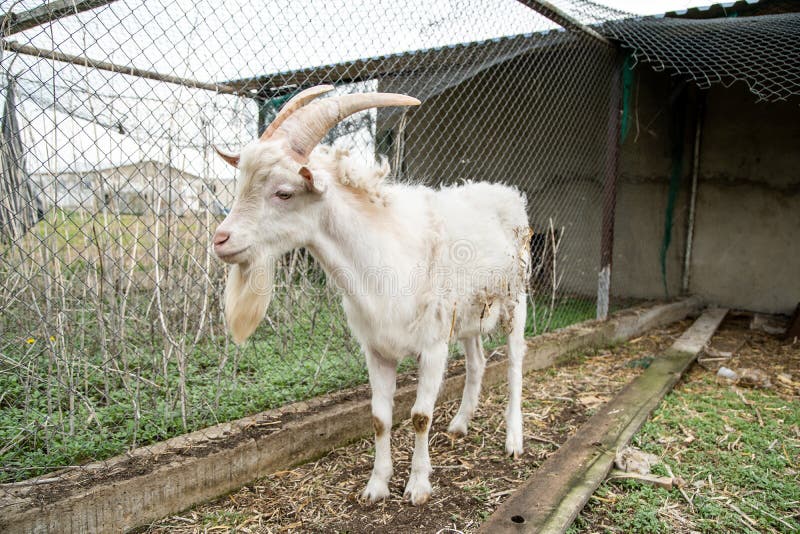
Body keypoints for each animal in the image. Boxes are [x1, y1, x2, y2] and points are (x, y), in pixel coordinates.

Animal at [212, 86, 532, 508]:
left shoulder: (432, 346)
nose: (220, 240)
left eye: (283, 192)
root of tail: (505, 192)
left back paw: (514, 440)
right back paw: (460, 424)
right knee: (477, 361)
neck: (387, 257)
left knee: (513, 365)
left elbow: (419, 416)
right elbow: (379, 418)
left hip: (516, 301)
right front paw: (376, 486)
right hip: (467, 315)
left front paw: (418, 486)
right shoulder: (377, 349)